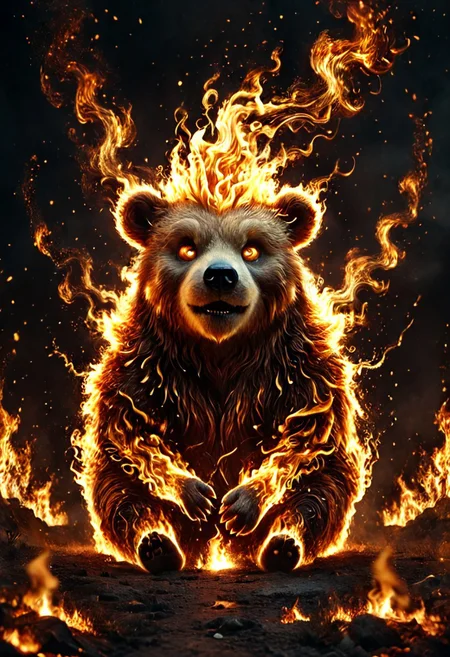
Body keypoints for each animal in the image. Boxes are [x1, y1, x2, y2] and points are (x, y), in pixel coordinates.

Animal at [73, 188, 366, 574]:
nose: (221, 276)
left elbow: (308, 435)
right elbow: (132, 431)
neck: (220, 352)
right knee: (120, 494)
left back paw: (283, 545)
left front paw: (242, 503)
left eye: (252, 249)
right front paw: (195, 494)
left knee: (321, 493)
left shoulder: (298, 366)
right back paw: (156, 545)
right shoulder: (146, 365)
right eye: (187, 248)